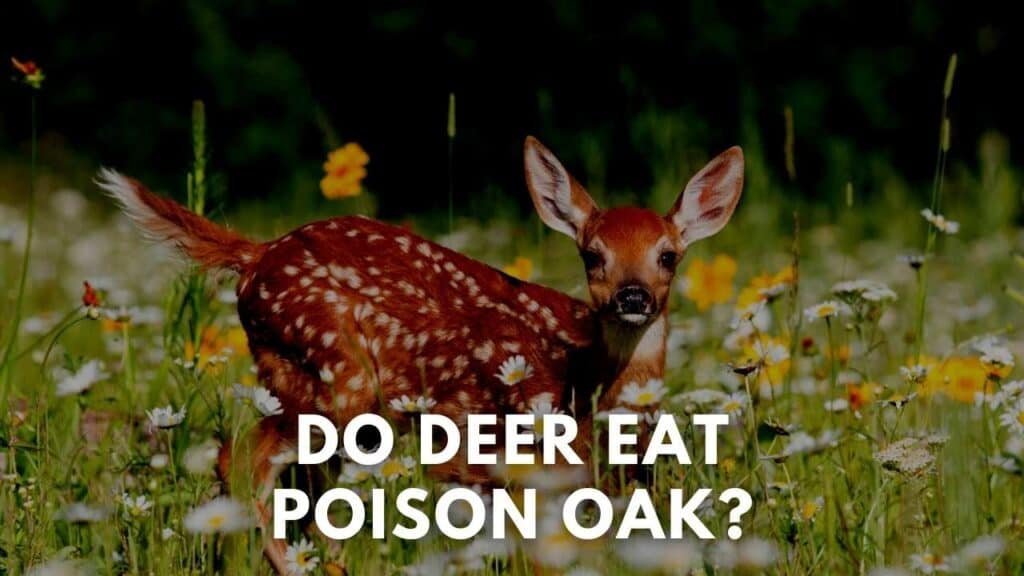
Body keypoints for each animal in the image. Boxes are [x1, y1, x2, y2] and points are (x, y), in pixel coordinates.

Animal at [97, 136, 743, 573]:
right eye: (592, 255)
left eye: (668, 255)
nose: (633, 297)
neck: (585, 383)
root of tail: (256, 255)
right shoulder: (503, 459)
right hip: (335, 377)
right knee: (243, 456)